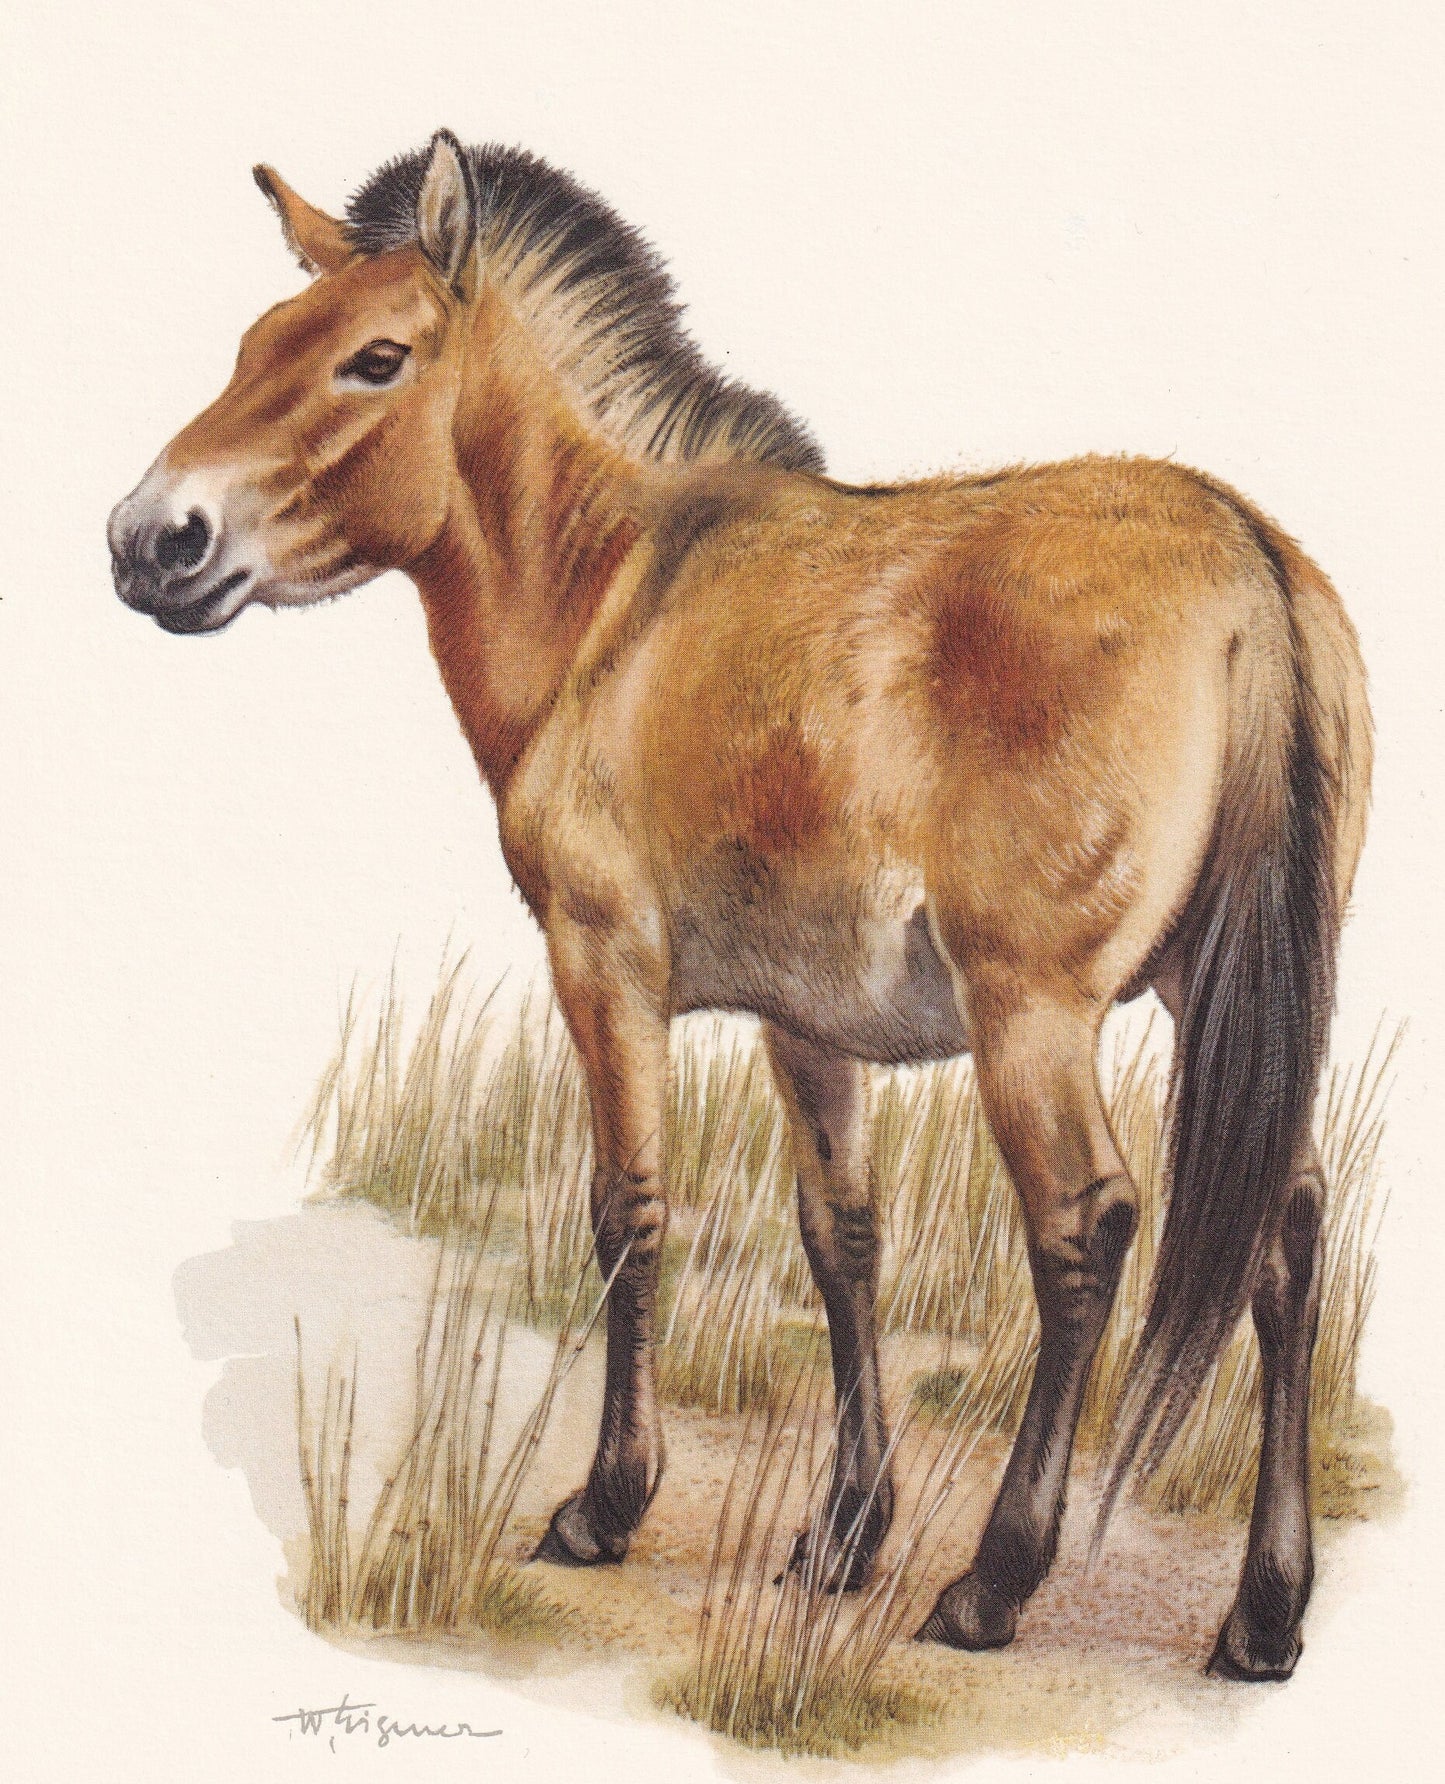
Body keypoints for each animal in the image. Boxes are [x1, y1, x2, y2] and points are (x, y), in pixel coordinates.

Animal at [109, 130, 1371, 1681]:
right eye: (254, 345)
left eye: (375, 359)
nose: (150, 541)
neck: (607, 595)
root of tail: (1248, 557)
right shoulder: (807, 1024)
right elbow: (843, 1244)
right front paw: (842, 1534)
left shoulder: (602, 967)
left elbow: (627, 1214)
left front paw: (606, 1506)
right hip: (1230, 1001)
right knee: (1286, 1231)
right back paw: (1262, 1614)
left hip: (1036, 1016)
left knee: (1086, 1232)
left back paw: (993, 1584)